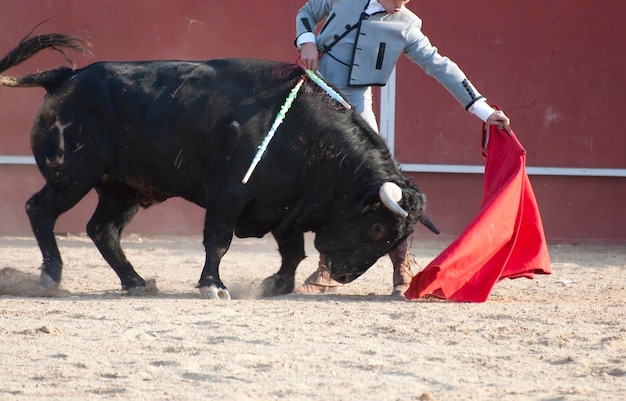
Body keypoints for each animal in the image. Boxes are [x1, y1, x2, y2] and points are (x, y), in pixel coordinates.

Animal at [1, 33, 434, 296]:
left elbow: (292, 251)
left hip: (121, 188)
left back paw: (136, 282)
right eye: (376, 228)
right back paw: (50, 276)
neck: (306, 135)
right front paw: (213, 285)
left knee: (102, 230)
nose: (343, 276)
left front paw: (275, 285)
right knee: (39, 210)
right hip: (71, 177)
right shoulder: (228, 194)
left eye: (395, 238)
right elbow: (219, 240)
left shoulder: (286, 206)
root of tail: (65, 77)